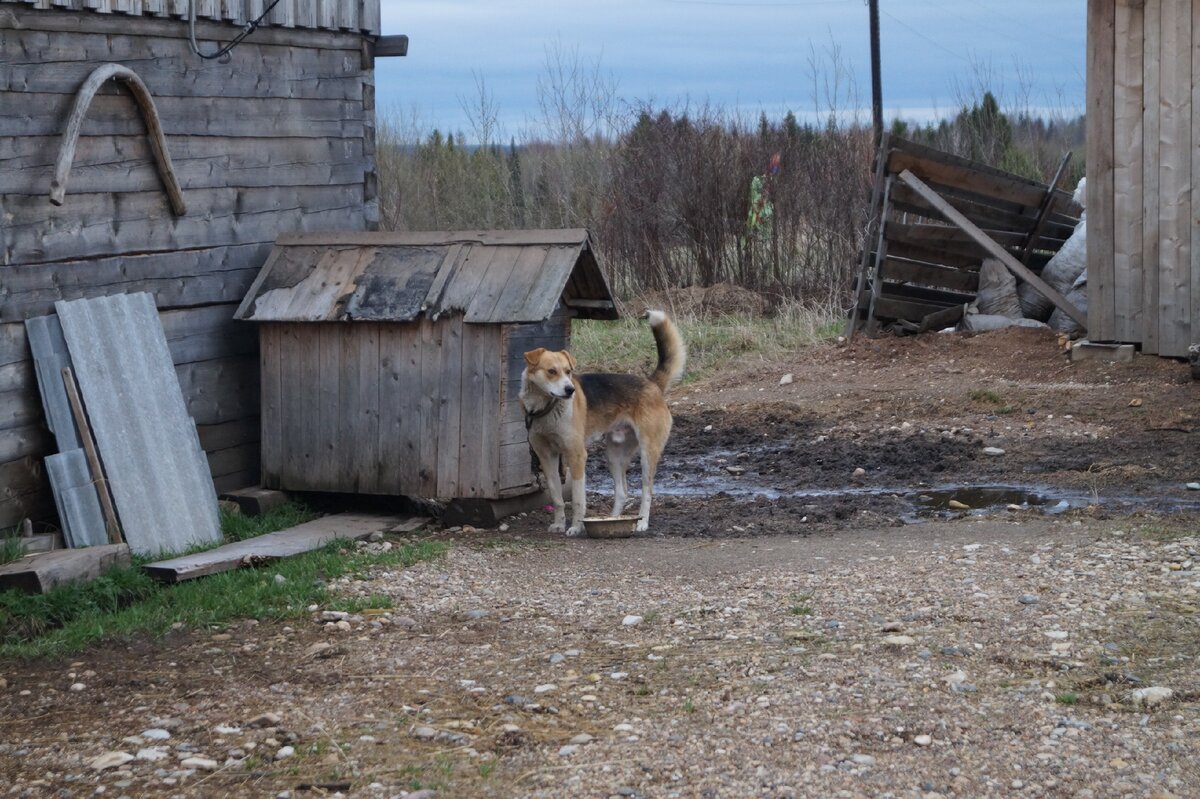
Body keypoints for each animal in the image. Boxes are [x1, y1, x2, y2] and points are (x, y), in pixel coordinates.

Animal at [523, 311, 686, 535]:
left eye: (568, 371)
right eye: (551, 371)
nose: (570, 390)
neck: (547, 408)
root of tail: (652, 383)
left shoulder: (577, 455)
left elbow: (578, 500)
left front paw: (576, 527)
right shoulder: (546, 457)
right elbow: (557, 498)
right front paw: (559, 524)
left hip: (647, 454)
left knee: (647, 491)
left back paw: (642, 522)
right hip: (614, 456)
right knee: (622, 492)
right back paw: (614, 519)